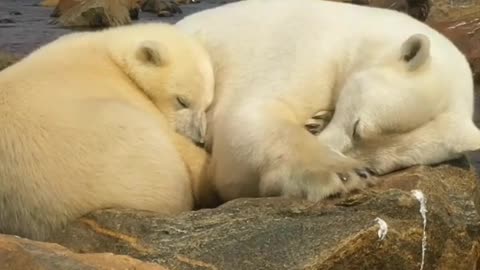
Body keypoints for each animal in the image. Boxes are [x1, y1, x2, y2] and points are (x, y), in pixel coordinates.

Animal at [177, 0, 480, 202]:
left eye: (376, 167)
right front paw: (342, 174)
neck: (357, 34)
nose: (326, 143)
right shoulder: (304, 46)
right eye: (358, 127)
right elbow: (251, 114)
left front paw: (318, 120)